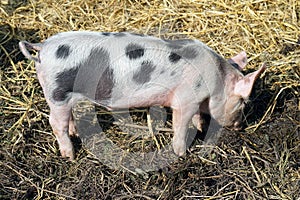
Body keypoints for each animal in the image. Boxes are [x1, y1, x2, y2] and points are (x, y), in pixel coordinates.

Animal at [18, 30, 264, 159]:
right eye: (243, 102)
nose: (241, 126)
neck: (217, 81)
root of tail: (42, 47)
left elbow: (196, 118)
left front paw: (201, 127)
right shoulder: (185, 99)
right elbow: (180, 125)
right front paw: (182, 154)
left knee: (65, 119)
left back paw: (75, 133)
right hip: (56, 92)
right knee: (54, 122)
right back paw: (69, 155)